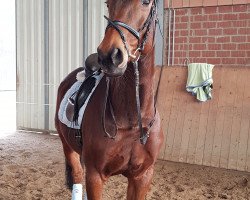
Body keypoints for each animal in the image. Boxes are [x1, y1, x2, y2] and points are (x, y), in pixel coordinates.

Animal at [55, 0, 163, 199]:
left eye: (145, 2)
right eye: (107, 3)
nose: (109, 56)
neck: (132, 122)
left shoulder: (142, 176)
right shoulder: (95, 176)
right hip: (67, 146)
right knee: (77, 176)